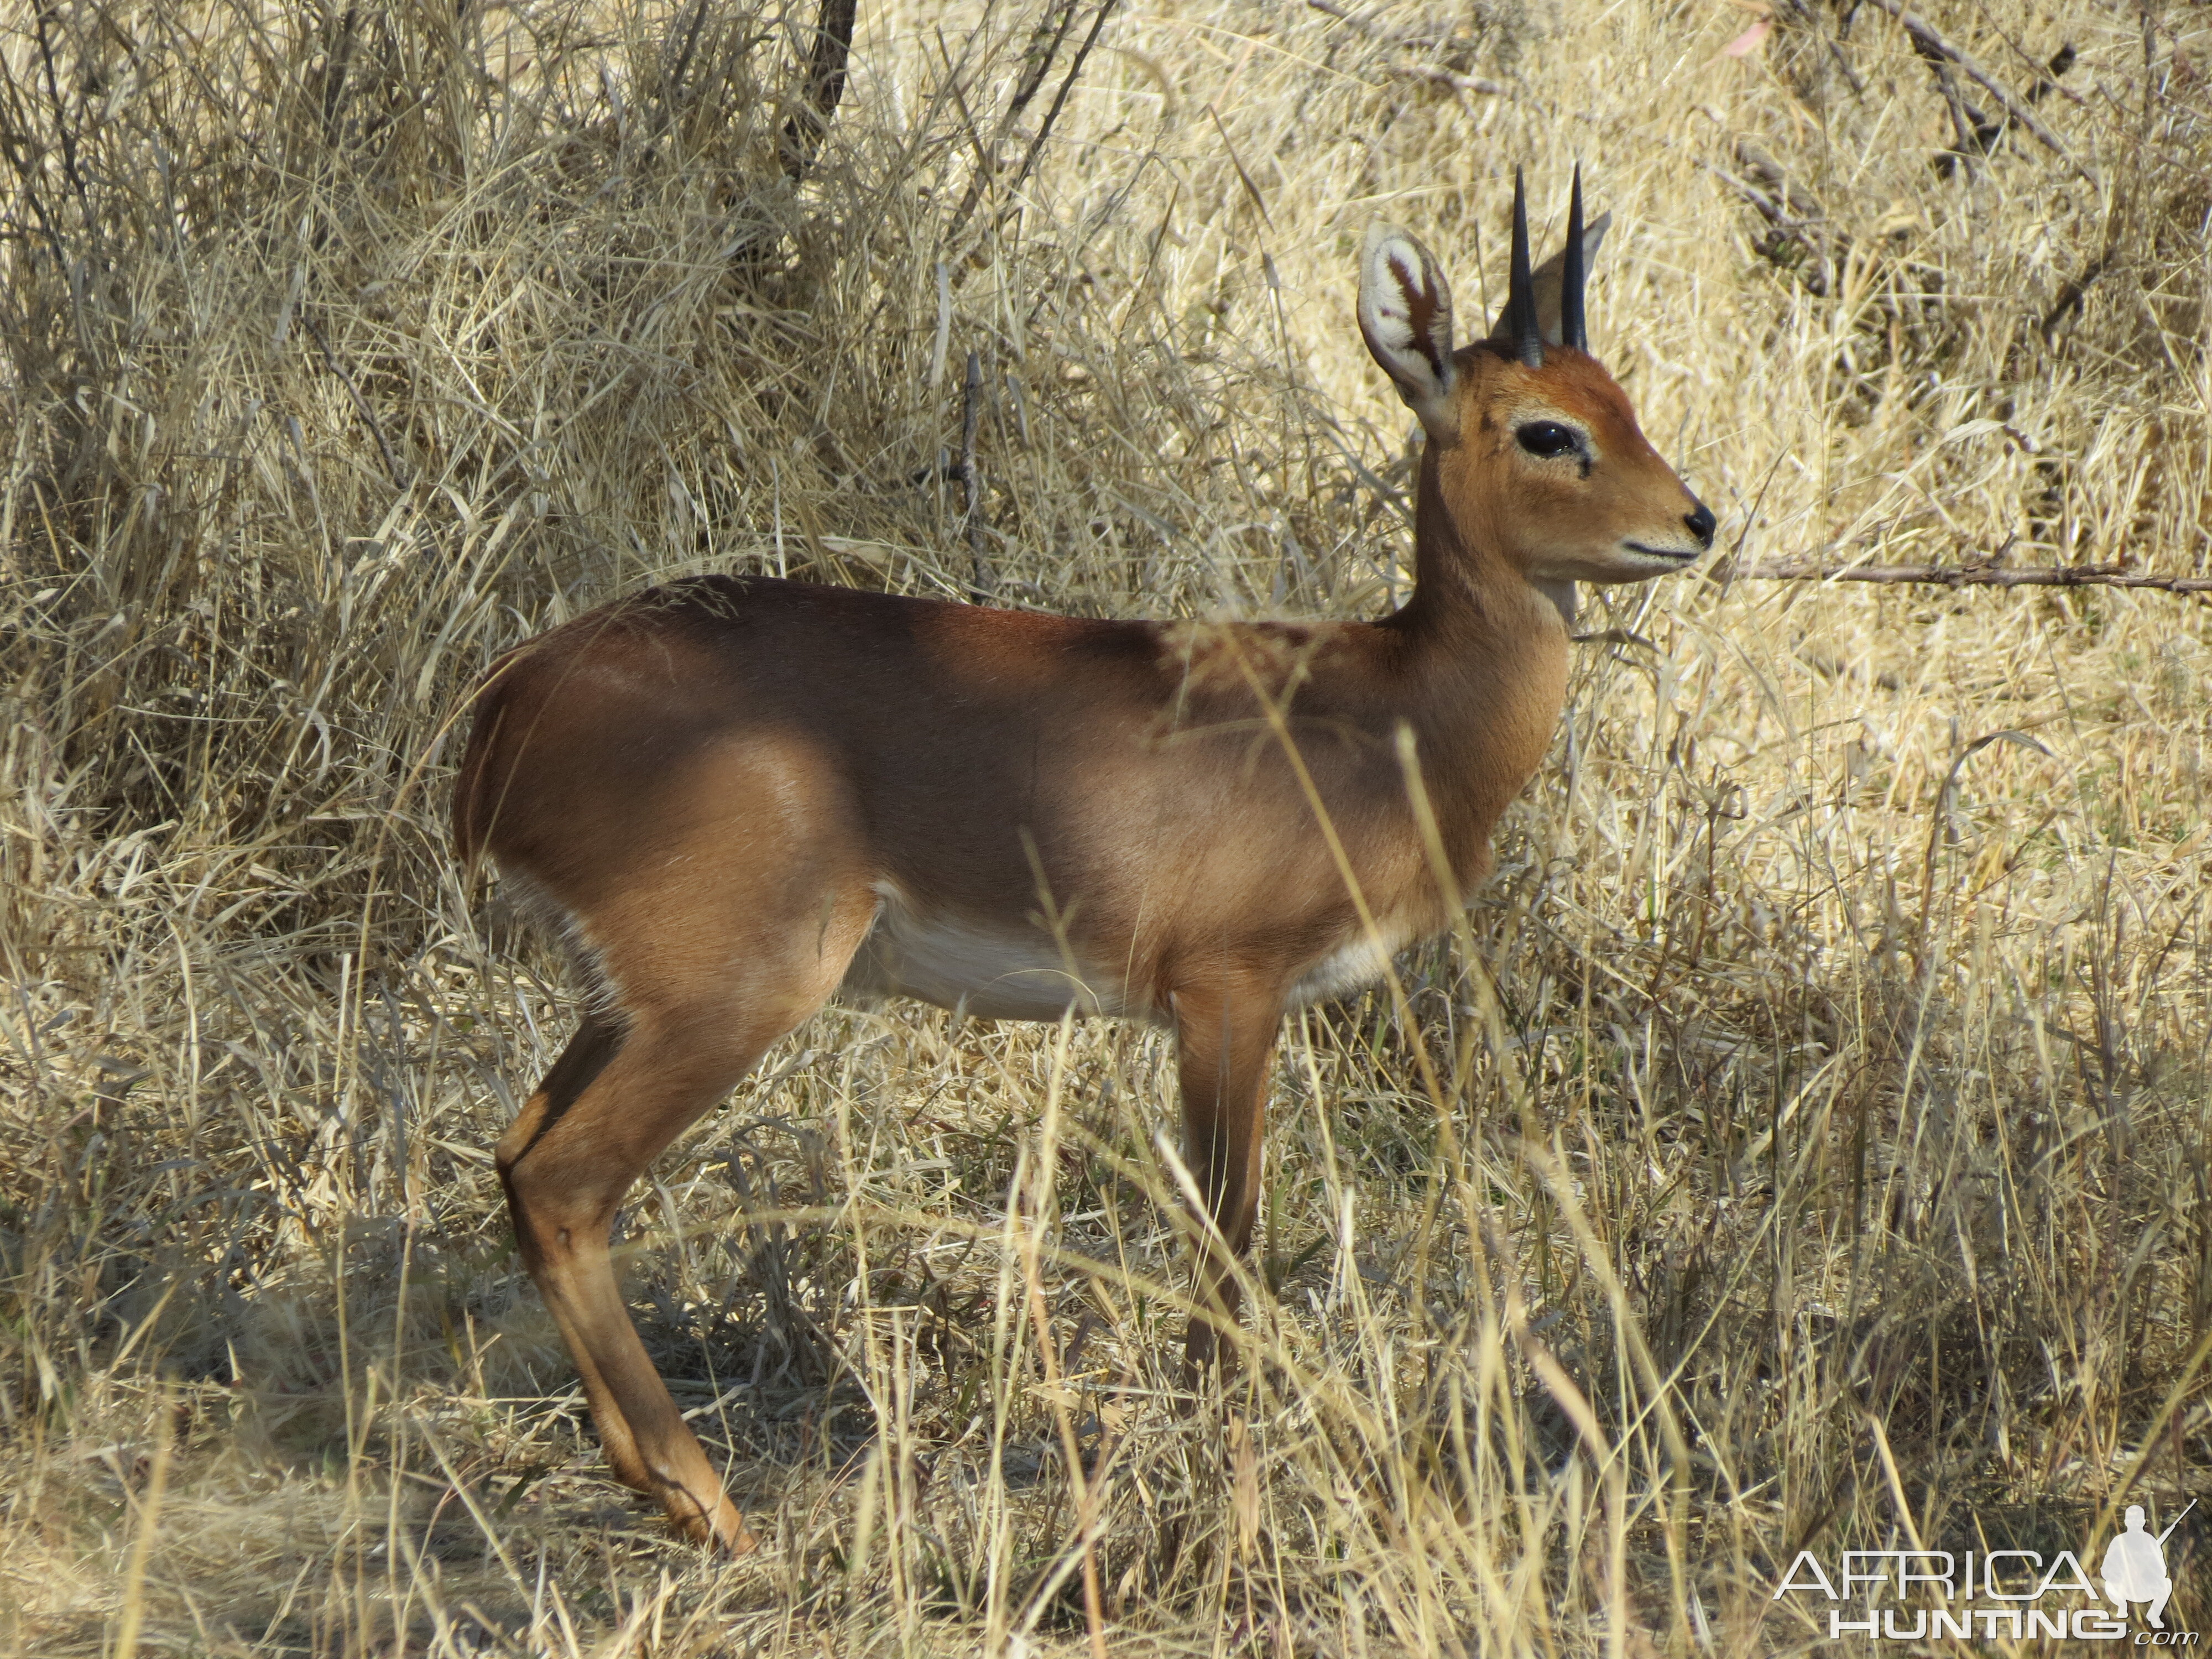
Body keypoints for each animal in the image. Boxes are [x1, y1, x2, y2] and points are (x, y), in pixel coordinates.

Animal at [458, 169, 1717, 1548]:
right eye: (1548, 431)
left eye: (1620, 397)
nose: (1694, 522)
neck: (1391, 715)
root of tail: (506, 704)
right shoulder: (1223, 995)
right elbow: (1225, 1242)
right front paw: (1222, 1491)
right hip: (733, 996)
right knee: (567, 1182)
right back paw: (711, 1506)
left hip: (619, 1005)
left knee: (514, 1158)